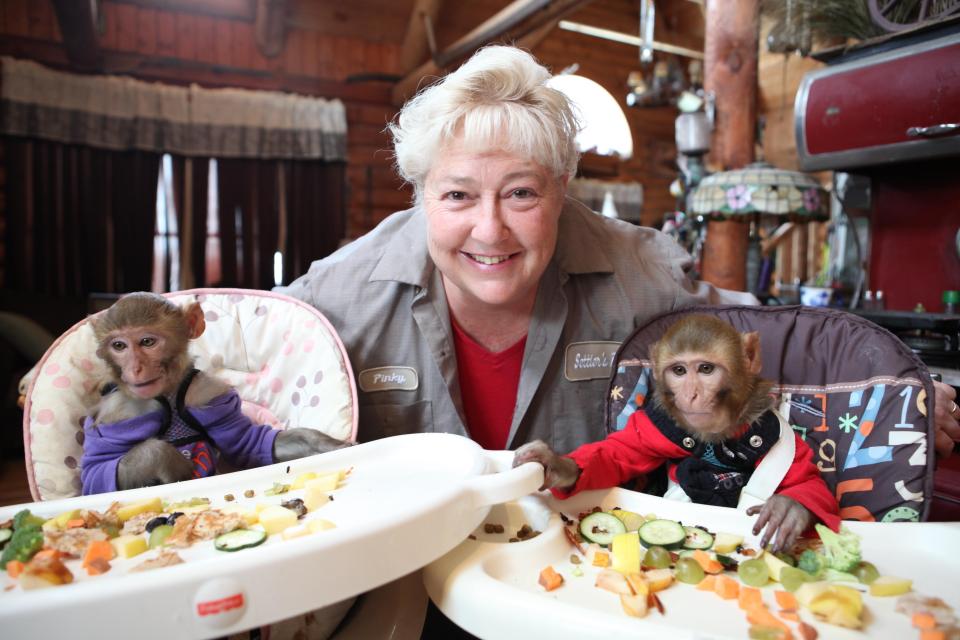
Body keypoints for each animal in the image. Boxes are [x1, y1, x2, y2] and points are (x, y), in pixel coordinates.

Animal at [512, 316, 836, 552]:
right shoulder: (652, 427)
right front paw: (558, 465)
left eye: (705, 369)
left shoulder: (773, 429)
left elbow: (807, 479)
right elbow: (617, 454)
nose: (690, 395)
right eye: (679, 371)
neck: (712, 438)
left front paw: (790, 508)